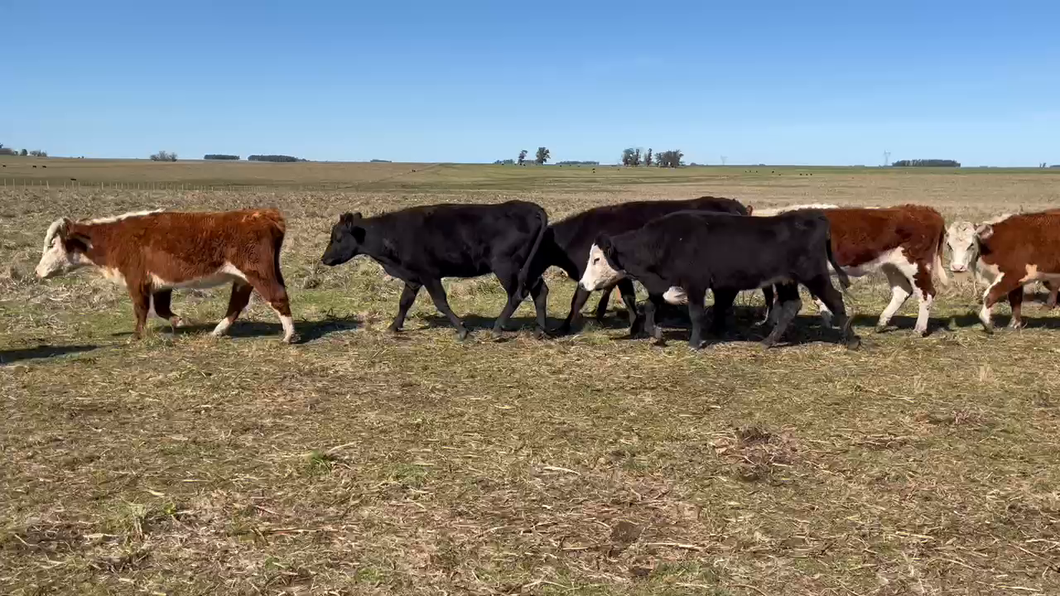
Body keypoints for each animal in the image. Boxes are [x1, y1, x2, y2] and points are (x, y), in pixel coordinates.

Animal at [35, 208, 296, 341]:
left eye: (52, 244)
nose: (37, 271)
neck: (115, 237)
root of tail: (262, 213)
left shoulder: (136, 280)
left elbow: (141, 309)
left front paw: (137, 336)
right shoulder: (160, 283)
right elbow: (161, 308)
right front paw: (179, 321)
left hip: (259, 272)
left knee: (278, 296)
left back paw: (289, 335)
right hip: (244, 278)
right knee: (237, 304)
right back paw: (218, 331)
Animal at [317, 199, 546, 339]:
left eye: (337, 237)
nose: (324, 259)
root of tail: (532, 208)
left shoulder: (429, 274)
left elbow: (440, 302)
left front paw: (462, 331)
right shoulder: (413, 277)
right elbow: (404, 302)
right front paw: (394, 326)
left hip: (506, 267)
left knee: (516, 295)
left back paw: (498, 328)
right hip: (530, 267)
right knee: (540, 290)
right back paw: (540, 330)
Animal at [517, 195, 750, 335]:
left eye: (527, 251)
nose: (520, 278)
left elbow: (578, 301)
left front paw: (563, 328)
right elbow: (626, 297)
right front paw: (635, 325)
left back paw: (716, 326)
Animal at [580, 208, 860, 347]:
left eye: (597, 259)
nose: (583, 283)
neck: (666, 240)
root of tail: (815, 218)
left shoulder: (695, 283)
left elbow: (695, 313)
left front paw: (695, 343)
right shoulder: (665, 282)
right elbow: (649, 307)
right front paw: (656, 334)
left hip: (814, 276)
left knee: (835, 300)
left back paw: (852, 340)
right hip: (786, 280)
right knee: (791, 305)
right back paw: (769, 341)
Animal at [758, 202, 949, 335]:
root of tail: (925, 210)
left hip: (916, 264)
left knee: (926, 293)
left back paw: (919, 329)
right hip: (892, 266)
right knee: (901, 292)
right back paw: (881, 324)